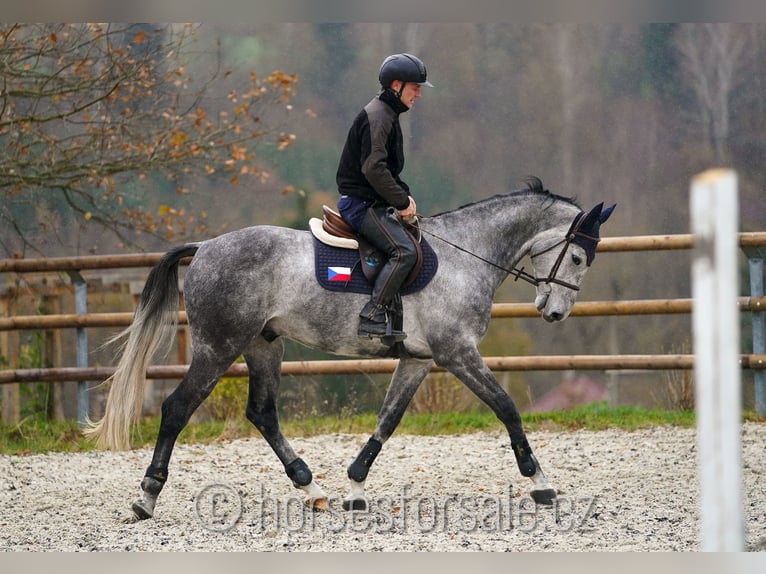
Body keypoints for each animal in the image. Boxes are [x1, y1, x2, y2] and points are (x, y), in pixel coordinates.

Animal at [87, 178, 616, 520]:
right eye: (577, 256)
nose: (555, 313)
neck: (466, 255)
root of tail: (205, 248)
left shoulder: (419, 359)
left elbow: (388, 418)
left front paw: (356, 484)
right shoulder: (456, 353)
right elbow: (506, 407)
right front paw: (540, 483)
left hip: (263, 344)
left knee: (262, 413)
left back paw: (312, 488)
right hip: (219, 346)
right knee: (178, 408)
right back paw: (146, 498)